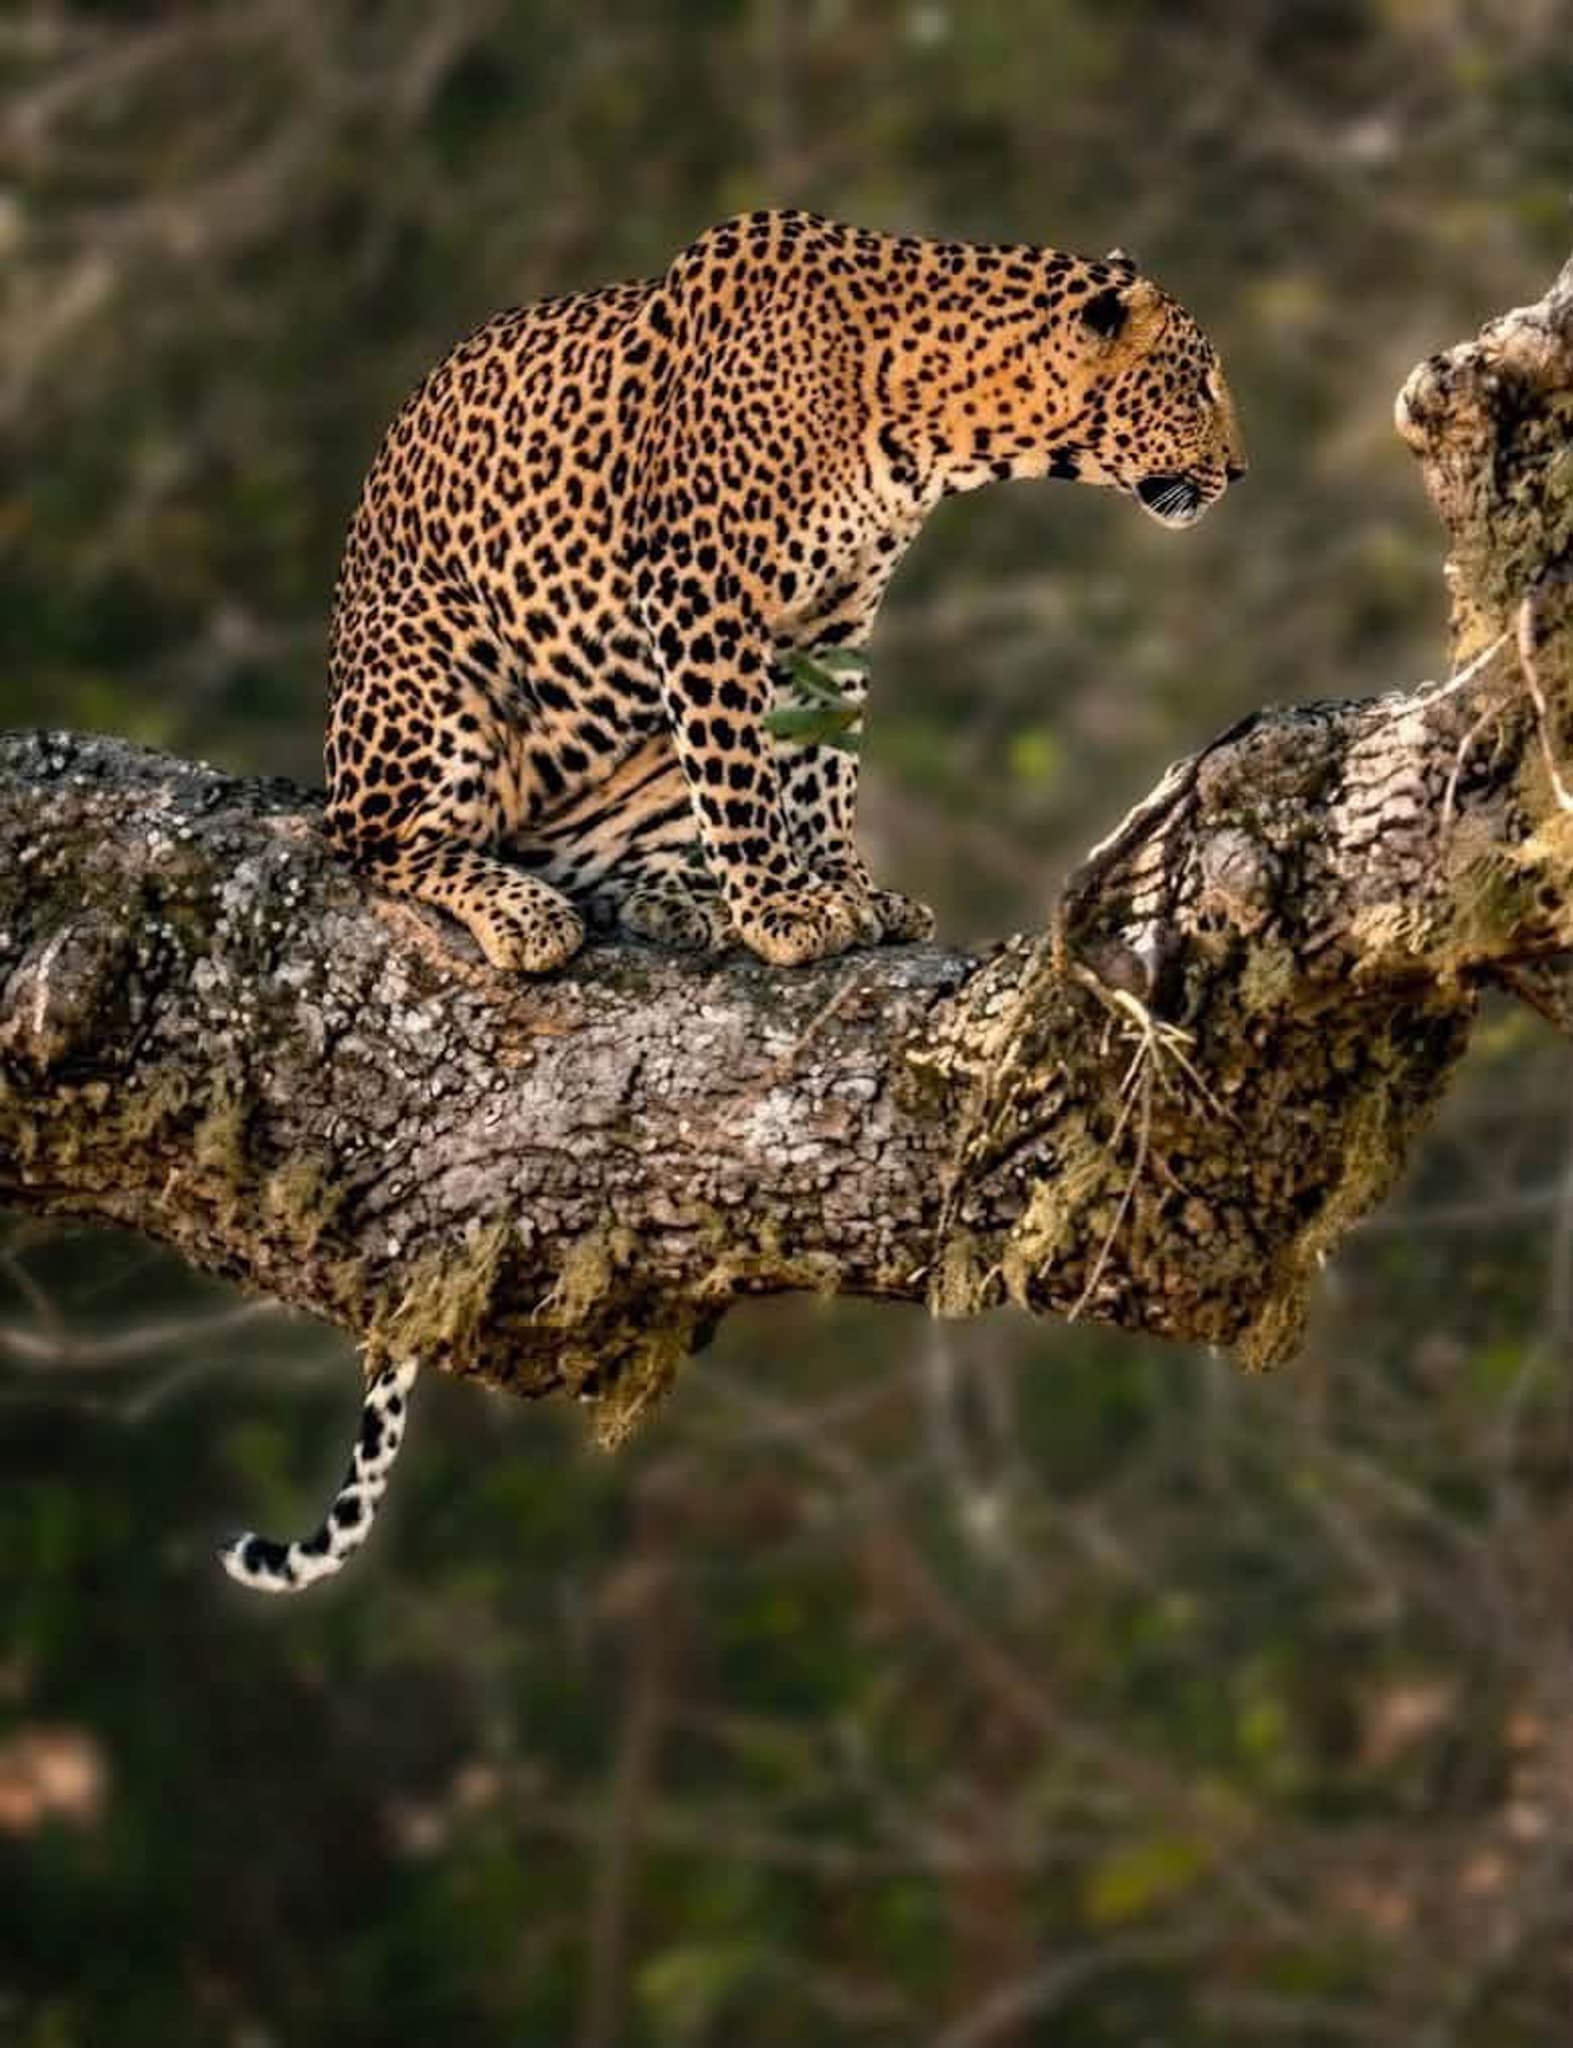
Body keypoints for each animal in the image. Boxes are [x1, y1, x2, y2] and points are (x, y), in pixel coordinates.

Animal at [222, 210, 1245, 1595]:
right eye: (1191, 381)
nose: (1238, 471)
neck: (934, 416)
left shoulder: (832, 615)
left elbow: (821, 760)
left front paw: (840, 889)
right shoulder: (702, 589)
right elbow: (743, 761)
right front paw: (780, 905)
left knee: (593, 856)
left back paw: (669, 904)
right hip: (433, 686)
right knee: (382, 841)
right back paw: (521, 909)